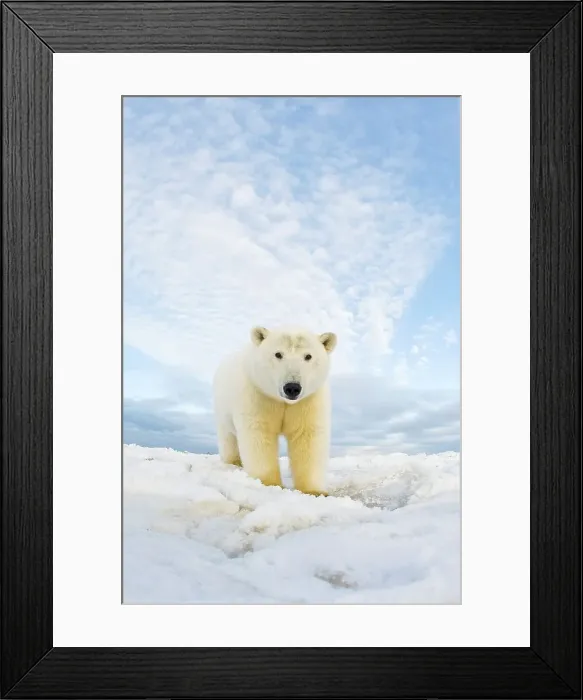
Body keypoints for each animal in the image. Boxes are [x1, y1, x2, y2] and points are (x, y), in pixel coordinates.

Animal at [212, 325, 337, 496]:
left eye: (308, 356)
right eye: (278, 354)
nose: (292, 387)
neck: (284, 402)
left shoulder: (308, 401)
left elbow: (307, 436)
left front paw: (314, 491)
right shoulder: (258, 394)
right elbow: (259, 434)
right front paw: (269, 483)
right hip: (222, 407)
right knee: (228, 437)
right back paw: (234, 462)